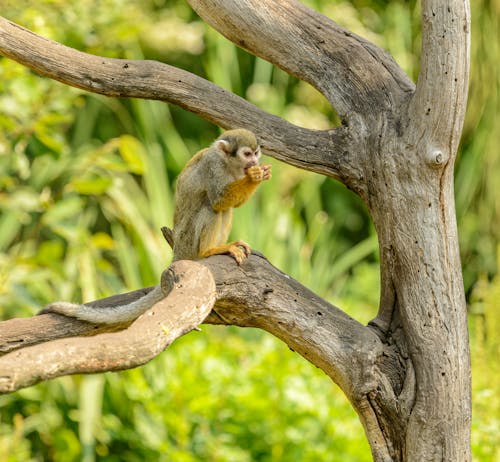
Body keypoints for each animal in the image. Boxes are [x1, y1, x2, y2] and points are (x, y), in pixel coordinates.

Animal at [41, 127, 272, 324]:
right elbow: (219, 200)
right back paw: (210, 250)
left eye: (256, 153)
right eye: (247, 154)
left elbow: (233, 203)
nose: (255, 161)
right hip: (189, 241)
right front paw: (255, 177)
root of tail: (178, 252)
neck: (229, 164)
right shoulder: (212, 166)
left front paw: (259, 174)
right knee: (212, 206)